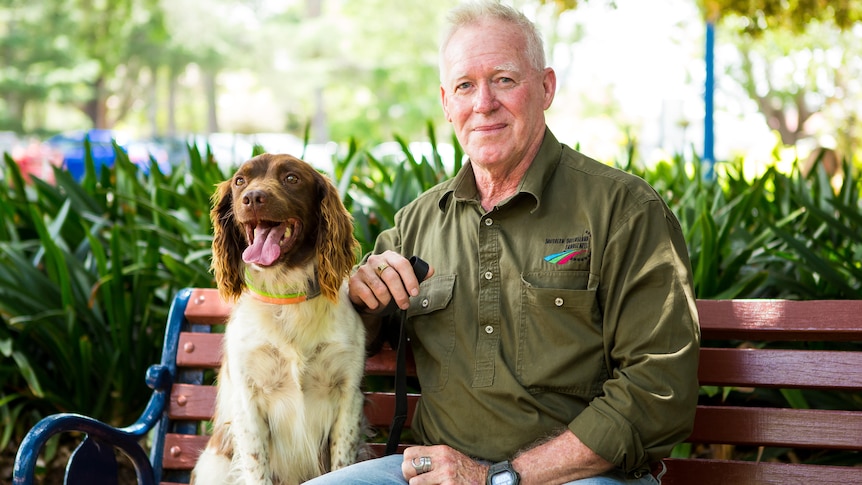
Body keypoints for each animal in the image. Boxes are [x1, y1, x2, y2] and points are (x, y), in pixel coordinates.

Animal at [192, 152, 368, 484]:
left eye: (291, 178)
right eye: (240, 180)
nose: (252, 198)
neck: (287, 298)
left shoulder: (347, 396)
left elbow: (343, 463)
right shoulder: (249, 402)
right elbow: (256, 468)